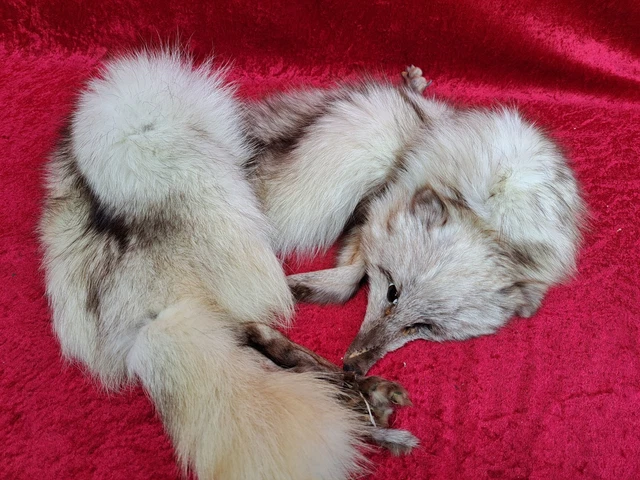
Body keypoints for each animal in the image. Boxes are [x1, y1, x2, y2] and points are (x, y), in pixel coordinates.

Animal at [245, 66, 585, 375]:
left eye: (424, 326)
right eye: (392, 293)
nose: (352, 368)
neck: (485, 221)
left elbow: (350, 276)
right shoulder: (382, 202)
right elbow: (353, 270)